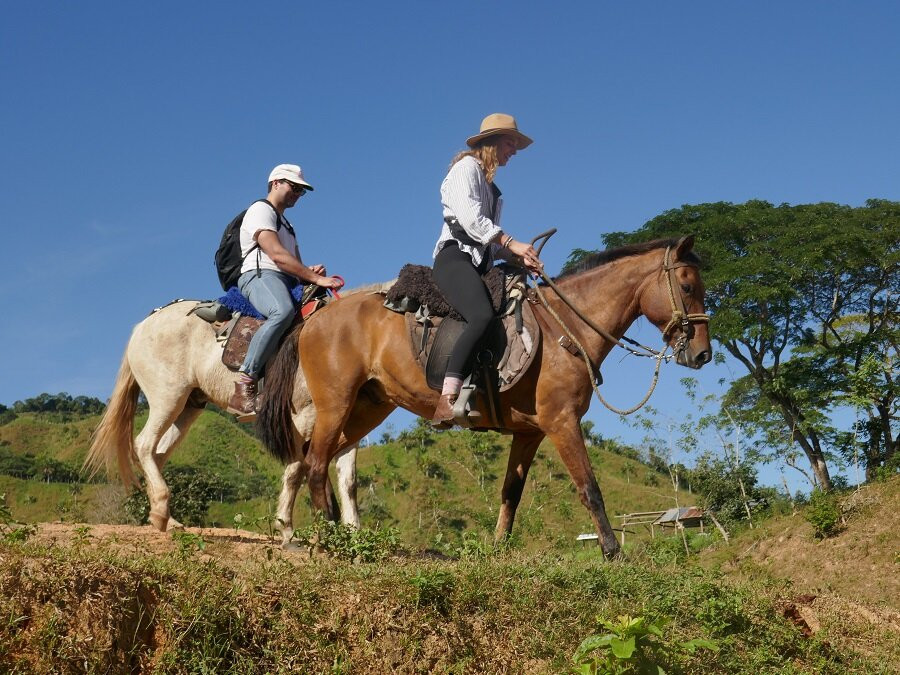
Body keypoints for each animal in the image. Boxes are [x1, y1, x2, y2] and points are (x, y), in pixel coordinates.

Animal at [84, 288, 390, 548]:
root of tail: (144, 325)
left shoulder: (345, 427)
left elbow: (347, 481)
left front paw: (352, 537)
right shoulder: (304, 419)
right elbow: (298, 470)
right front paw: (289, 532)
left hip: (188, 407)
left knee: (157, 455)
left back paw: (168, 521)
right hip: (167, 398)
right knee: (144, 445)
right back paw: (160, 510)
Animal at [260, 238, 712, 560]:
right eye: (688, 286)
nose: (702, 354)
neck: (565, 328)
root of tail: (313, 319)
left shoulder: (530, 434)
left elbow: (511, 493)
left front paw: (498, 550)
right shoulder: (563, 422)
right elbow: (589, 487)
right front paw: (613, 553)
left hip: (367, 408)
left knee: (314, 460)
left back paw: (334, 534)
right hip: (335, 404)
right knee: (315, 462)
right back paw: (331, 538)